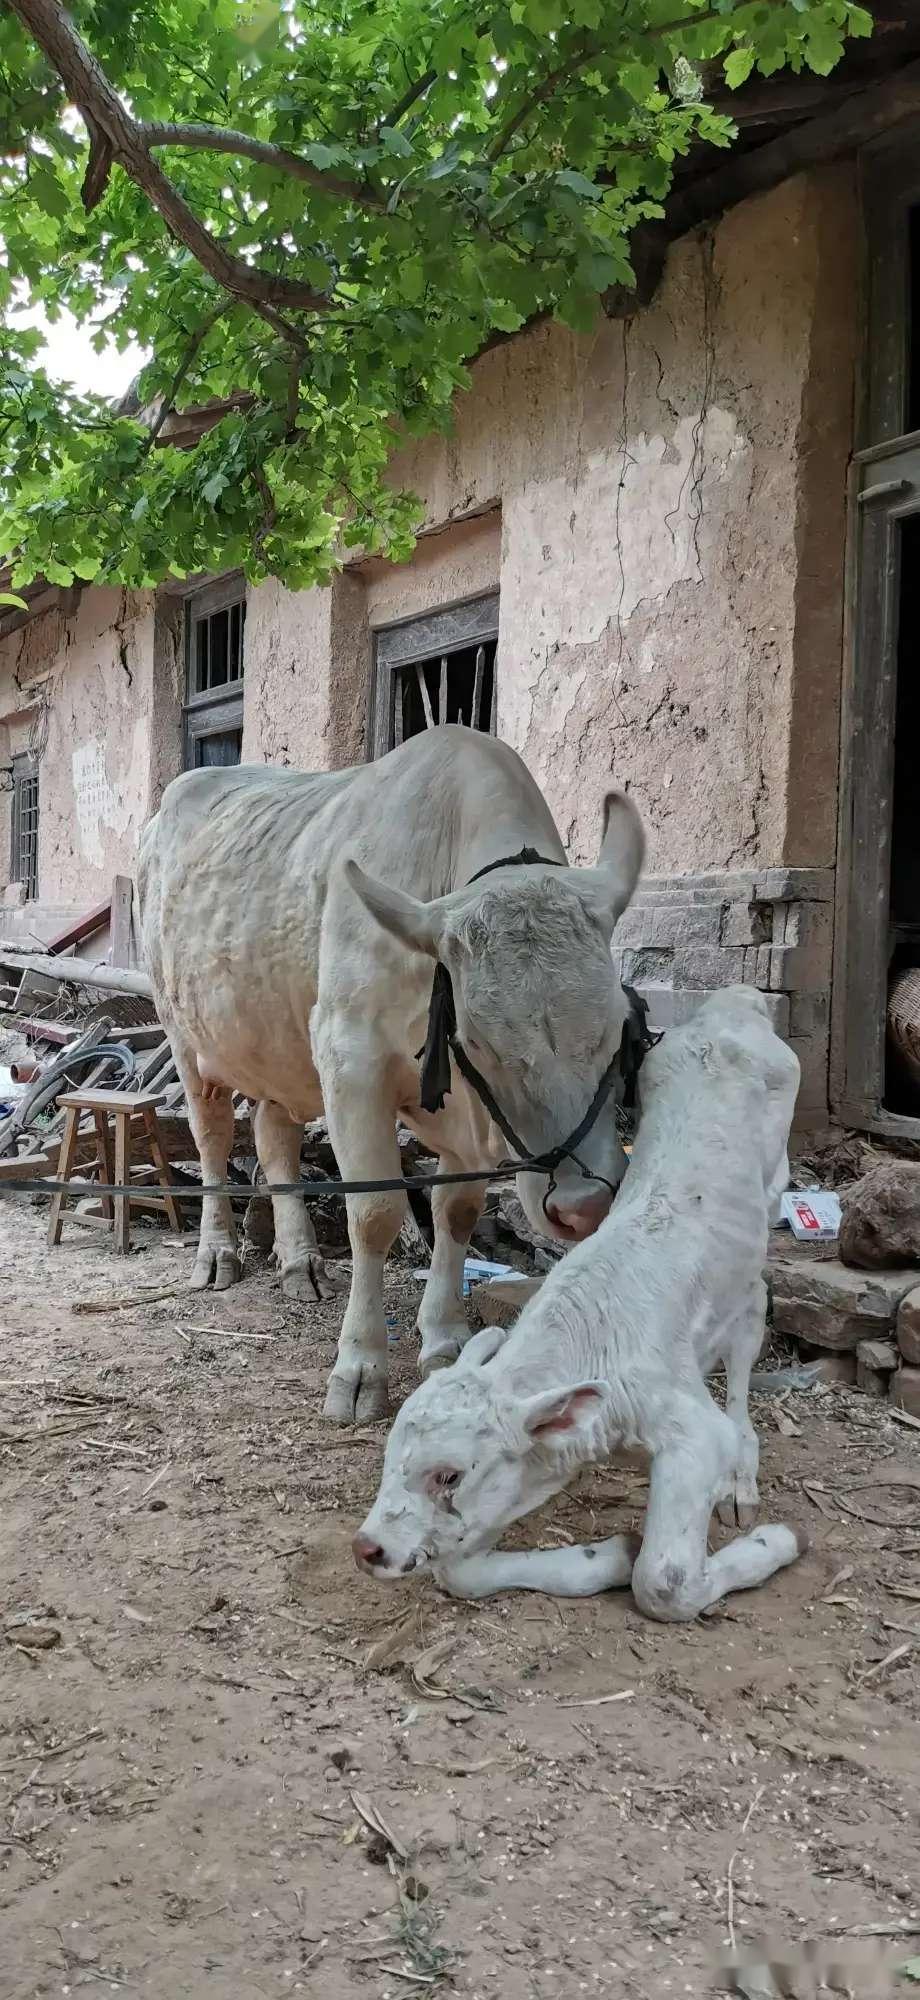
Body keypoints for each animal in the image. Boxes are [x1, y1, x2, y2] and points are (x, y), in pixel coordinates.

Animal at [137, 732, 644, 1424]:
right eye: (477, 1040)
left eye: (618, 1026)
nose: (582, 1203)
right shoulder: (351, 1062)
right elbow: (374, 1214)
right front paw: (360, 1369)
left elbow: (456, 1211)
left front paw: (446, 1339)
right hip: (186, 1037)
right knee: (213, 1137)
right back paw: (218, 1254)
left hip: (282, 1045)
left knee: (274, 1137)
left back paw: (301, 1264)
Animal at [352, 988, 804, 1624]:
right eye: (391, 1452)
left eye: (449, 1475)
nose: (368, 1548)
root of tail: (733, 1003)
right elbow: (462, 1572)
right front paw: (608, 1555)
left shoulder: (693, 1429)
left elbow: (663, 1582)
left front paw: (772, 1541)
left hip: (772, 1190)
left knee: (751, 1315)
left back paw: (741, 1473)